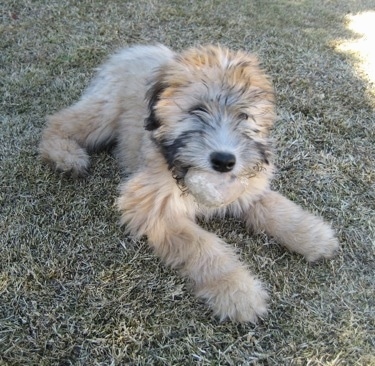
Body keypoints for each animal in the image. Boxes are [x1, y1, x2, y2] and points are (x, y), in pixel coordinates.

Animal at [39, 44, 340, 322]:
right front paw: (238, 292)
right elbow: (204, 247)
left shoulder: (247, 188)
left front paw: (314, 236)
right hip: (104, 113)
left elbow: (276, 208)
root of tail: (134, 49)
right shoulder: (154, 208)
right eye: (197, 110)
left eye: (243, 116)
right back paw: (67, 156)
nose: (224, 161)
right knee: (58, 122)